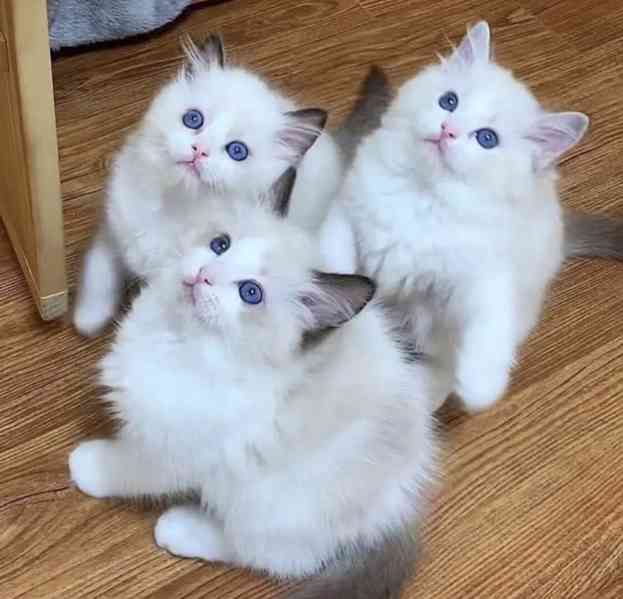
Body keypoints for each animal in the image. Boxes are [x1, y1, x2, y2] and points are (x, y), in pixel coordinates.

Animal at [68, 167, 443, 599]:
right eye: (220, 244)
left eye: (250, 293)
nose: (204, 275)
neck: (179, 339)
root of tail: (401, 507)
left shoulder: (172, 450)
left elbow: (127, 466)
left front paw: (87, 465)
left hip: (271, 506)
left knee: (269, 555)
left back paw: (180, 528)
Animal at [73, 33, 342, 337]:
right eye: (193, 119)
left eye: (237, 151)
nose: (198, 150)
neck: (174, 205)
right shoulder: (114, 228)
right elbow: (99, 269)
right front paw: (87, 318)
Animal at [321, 21, 597, 412]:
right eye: (449, 101)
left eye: (486, 139)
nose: (447, 130)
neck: (421, 194)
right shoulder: (347, 209)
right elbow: (338, 254)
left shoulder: (481, 277)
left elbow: (489, 328)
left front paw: (480, 387)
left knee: (440, 372)